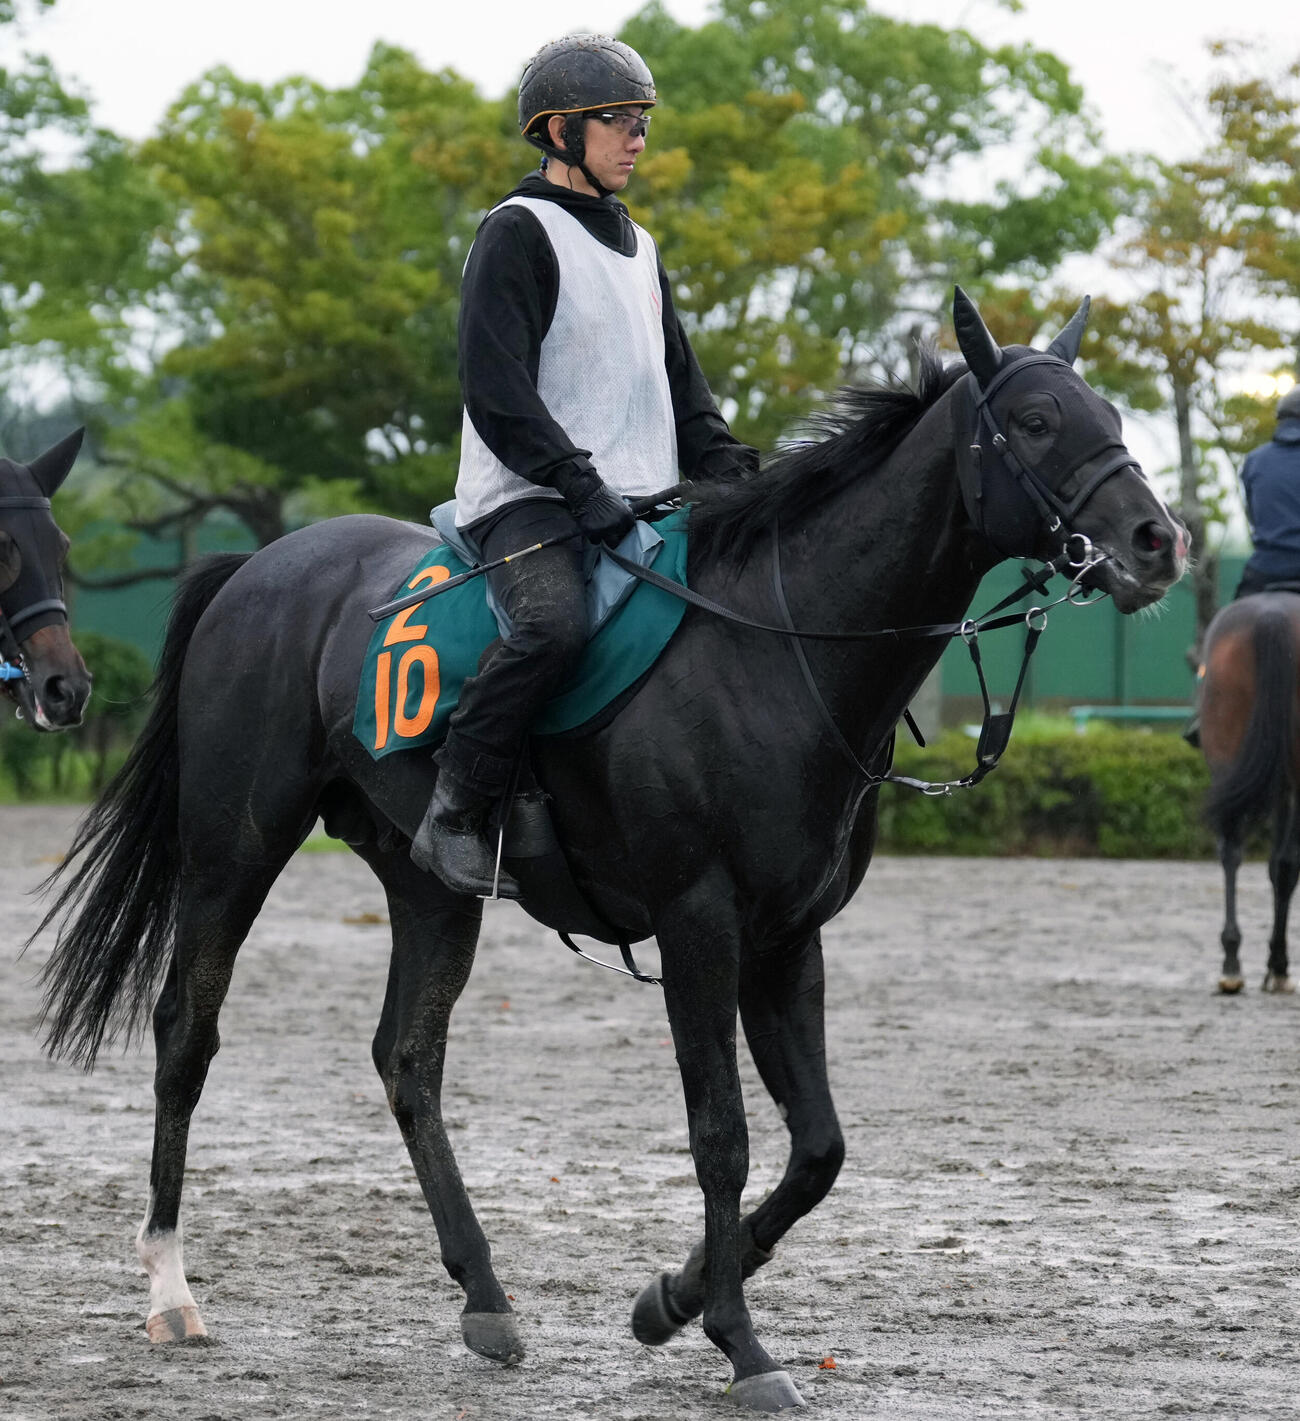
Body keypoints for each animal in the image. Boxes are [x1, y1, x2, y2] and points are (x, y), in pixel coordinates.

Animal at [35, 290, 1186, 1412]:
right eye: (1034, 421)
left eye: (1107, 414)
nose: (1155, 540)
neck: (775, 644)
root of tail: (258, 568)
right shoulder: (699, 923)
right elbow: (721, 1132)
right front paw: (739, 1342)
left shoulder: (788, 937)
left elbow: (818, 1146)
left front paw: (669, 1298)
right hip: (233, 848)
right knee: (187, 1031)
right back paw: (171, 1288)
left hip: (430, 884)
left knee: (408, 1059)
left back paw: (486, 1297)